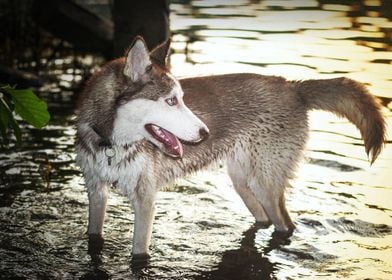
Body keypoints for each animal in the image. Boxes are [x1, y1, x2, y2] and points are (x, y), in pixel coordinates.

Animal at [76, 36, 386, 258]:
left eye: (181, 98)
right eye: (171, 101)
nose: (205, 132)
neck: (110, 143)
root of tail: (292, 86)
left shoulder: (145, 200)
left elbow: (138, 254)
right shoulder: (96, 190)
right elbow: (93, 235)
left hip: (265, 183)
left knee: (285, 224)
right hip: (242, 181)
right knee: (263, 218)